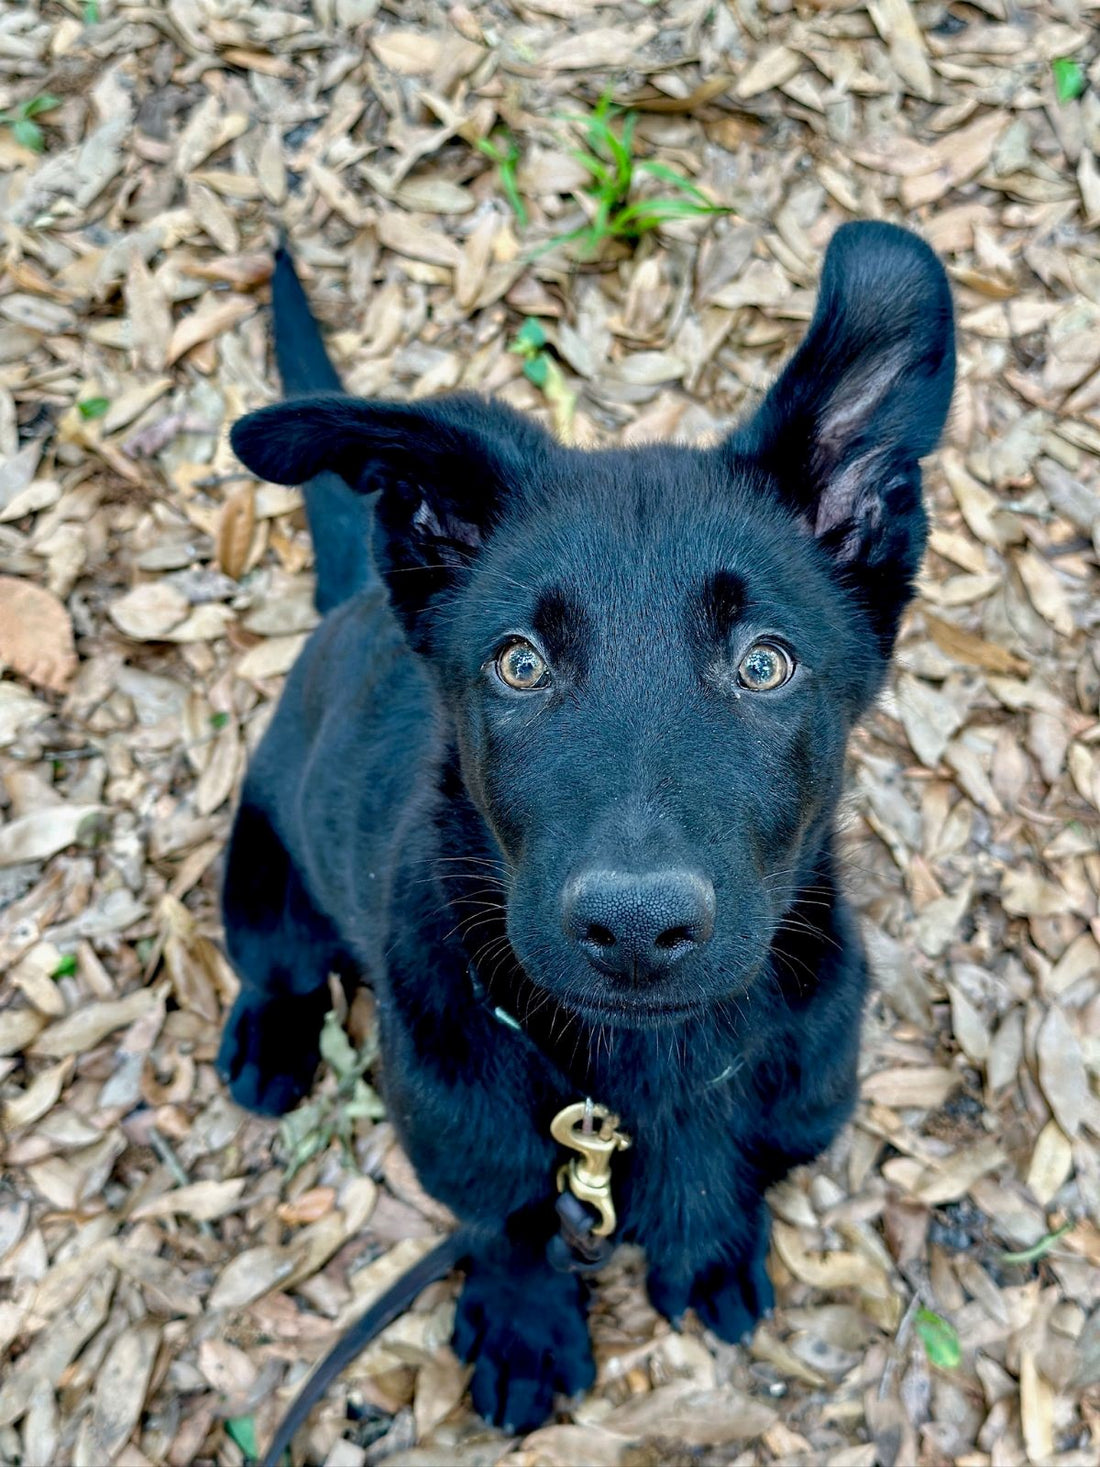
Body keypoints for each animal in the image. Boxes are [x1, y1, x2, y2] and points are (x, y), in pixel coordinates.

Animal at [217, 222, 956, 1437]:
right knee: (273, 963)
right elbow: (508, 1223)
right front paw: (525, 1322)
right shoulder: (465, 1149)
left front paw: (710, 1242)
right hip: (261, 859)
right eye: (519, 664)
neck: (640, 1082)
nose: (635, 928)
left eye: (764, 664)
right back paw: (268, 1039)